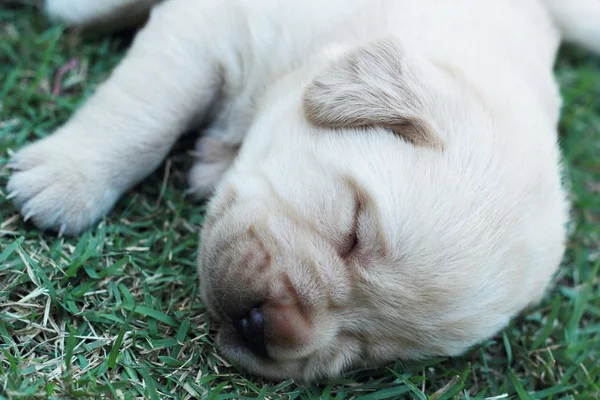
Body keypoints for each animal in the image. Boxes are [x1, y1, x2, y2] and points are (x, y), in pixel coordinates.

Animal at [5, 0, 600, 382]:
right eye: (352, 228)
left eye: (368, 352)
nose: (263, 326)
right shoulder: (215, 25)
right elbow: (146, 112)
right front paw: (66, 177)